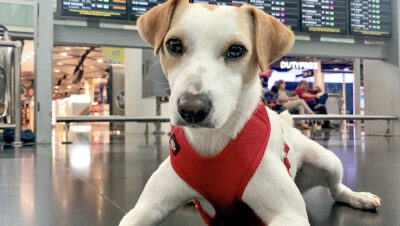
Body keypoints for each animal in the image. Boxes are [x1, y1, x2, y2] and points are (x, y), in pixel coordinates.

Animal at [119, 0, 382, 225]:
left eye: (236, 50)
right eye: (174, 45)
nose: (192, 109)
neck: (211, 142)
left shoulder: (289, 215)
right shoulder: (146, 208)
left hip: (328, 160)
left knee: (338, 189)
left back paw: (359, 197)